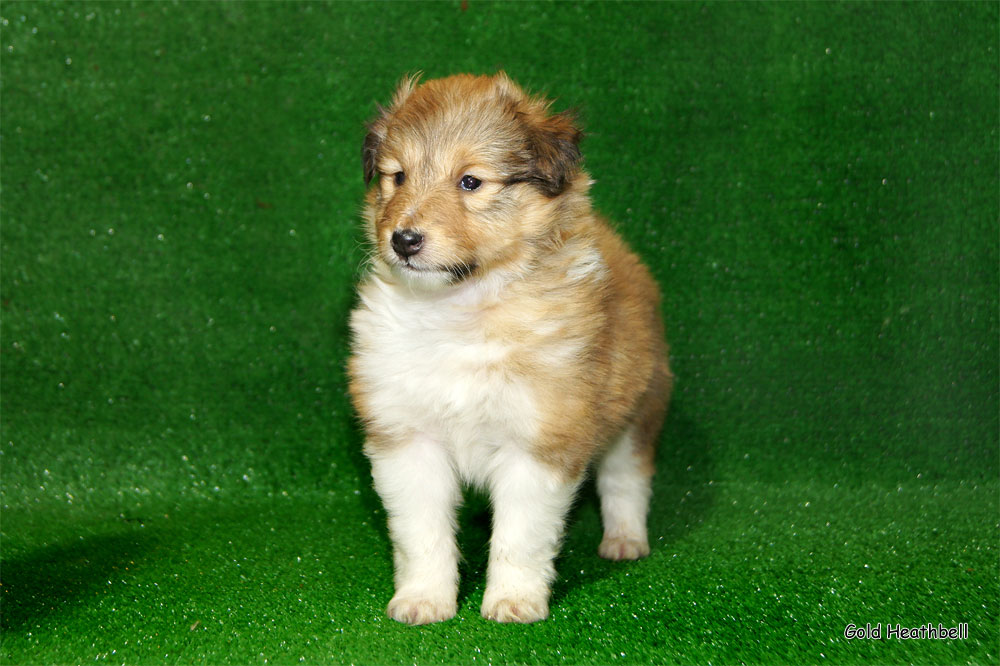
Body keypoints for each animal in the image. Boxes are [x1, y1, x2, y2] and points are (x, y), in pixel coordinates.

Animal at [350, 72, 672, 624]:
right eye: (397, 177)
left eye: (470, 182)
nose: (404, 239)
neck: (459, 312)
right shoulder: (407, 439)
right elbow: (421, 534)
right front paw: (423, 600)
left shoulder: (541, 441)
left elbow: (519, 537)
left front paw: (513, 602)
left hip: (636, 411)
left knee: (625, 481)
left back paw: (624, 541)